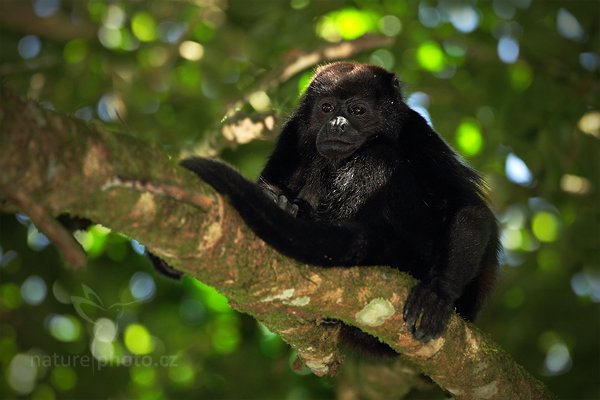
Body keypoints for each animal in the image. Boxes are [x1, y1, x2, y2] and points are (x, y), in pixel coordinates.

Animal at [180, 61, 500, 350]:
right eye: (326, 108)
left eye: (357, 110)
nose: (337, 125)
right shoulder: (294, 130)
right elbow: (272, 183)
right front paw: (280, 201)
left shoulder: (416, 132)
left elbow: (467, 206)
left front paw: (439, 291)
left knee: (377, 155)